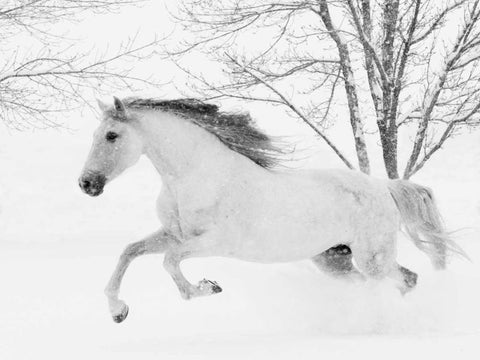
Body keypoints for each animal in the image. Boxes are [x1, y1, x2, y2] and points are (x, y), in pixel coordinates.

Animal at [79, 95, 464, 324]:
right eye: (96, 135)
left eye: (111, 135)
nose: (86, 184)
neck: (196, 176)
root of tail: (384, 187)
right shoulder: (172, 234)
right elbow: (129, 252)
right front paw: (118, 311)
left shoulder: (213, 242)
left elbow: (170, 263)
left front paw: (207, 287)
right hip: (333, 259)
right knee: (382, 281)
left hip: (373, 257)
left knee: (405, 279)